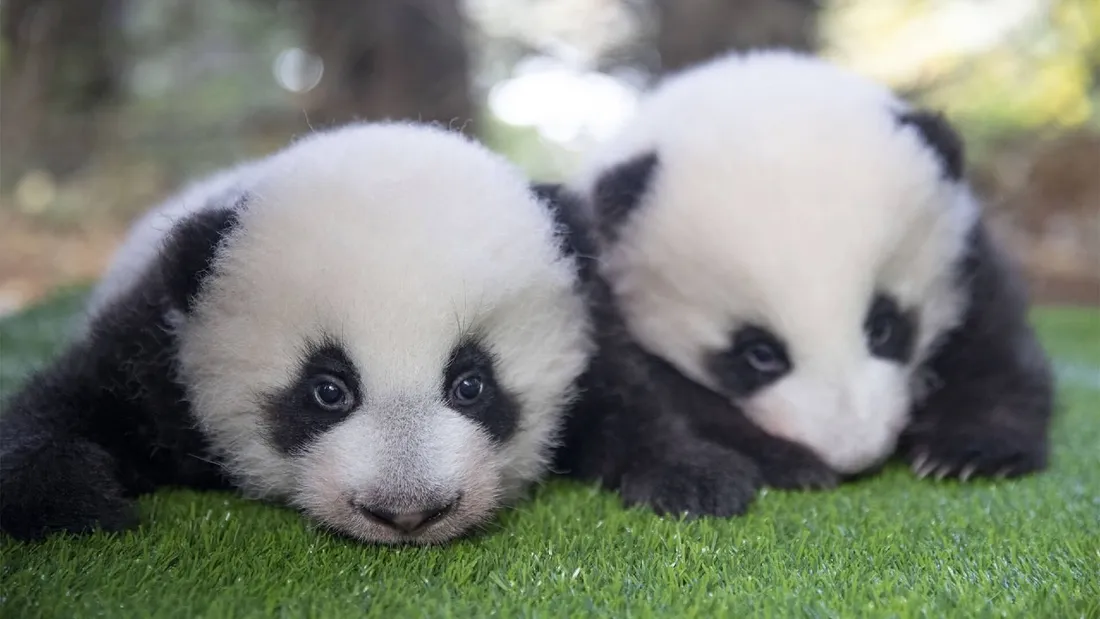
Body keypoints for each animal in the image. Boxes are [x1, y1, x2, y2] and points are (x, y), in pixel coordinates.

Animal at [0, 122, 594, 545]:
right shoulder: (154, 352)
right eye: (327, 391)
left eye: (471, 384)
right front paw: (70, 504)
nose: (407, 512)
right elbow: (66, 402)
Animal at [549, 49, 1055, 517]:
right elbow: (662, 400)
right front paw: (790, 464)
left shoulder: (964, 254)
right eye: (759, 354)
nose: (855, 454)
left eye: (884, 327)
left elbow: (993, 343)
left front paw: (969, 452)